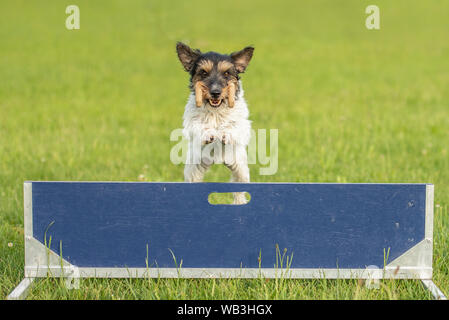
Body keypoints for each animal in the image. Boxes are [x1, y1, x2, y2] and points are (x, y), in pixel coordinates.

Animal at [175, 42, 254, 204]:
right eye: (204, 73)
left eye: (226, 73)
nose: (216, 92)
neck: (216, 110)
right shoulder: (191, 122)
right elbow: (199, 126)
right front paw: (209, 134)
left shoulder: (242, 123)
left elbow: (233, 125)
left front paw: (225, 134)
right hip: (193, 171)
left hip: (241, 171)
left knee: (239, 190)